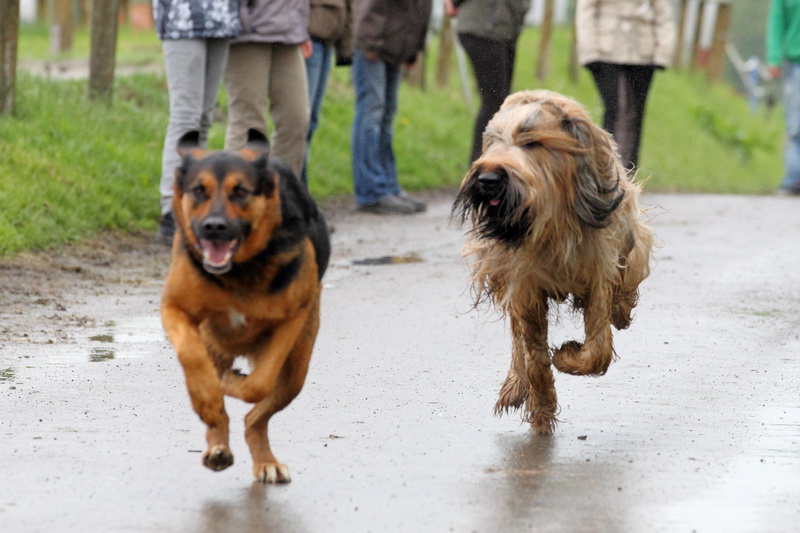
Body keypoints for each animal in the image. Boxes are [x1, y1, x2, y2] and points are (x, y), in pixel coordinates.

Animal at [160, 129, 330, 483]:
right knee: (222, 407)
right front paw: (207, 399)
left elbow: (257, 385)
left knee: (256, 417)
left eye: (240, 192)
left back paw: (265, 460)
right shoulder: (174, 307)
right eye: (199, 190)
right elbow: (191, 356)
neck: (238, 270)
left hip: (296, 370)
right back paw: (217, 445)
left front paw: (232, 383)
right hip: (216, 346)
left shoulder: (291, 319)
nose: (214, 227)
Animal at [451, 90, 653, 435]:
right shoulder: (525, 285)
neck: (552, 221)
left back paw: (622, 311)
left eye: (532, 142)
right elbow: (532, 352)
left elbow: (598, 345)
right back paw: (515, 386)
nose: (488, 178)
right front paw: (541, 409)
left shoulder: (599, 269)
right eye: (493, 142)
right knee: (517, 342)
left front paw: (567, 357)